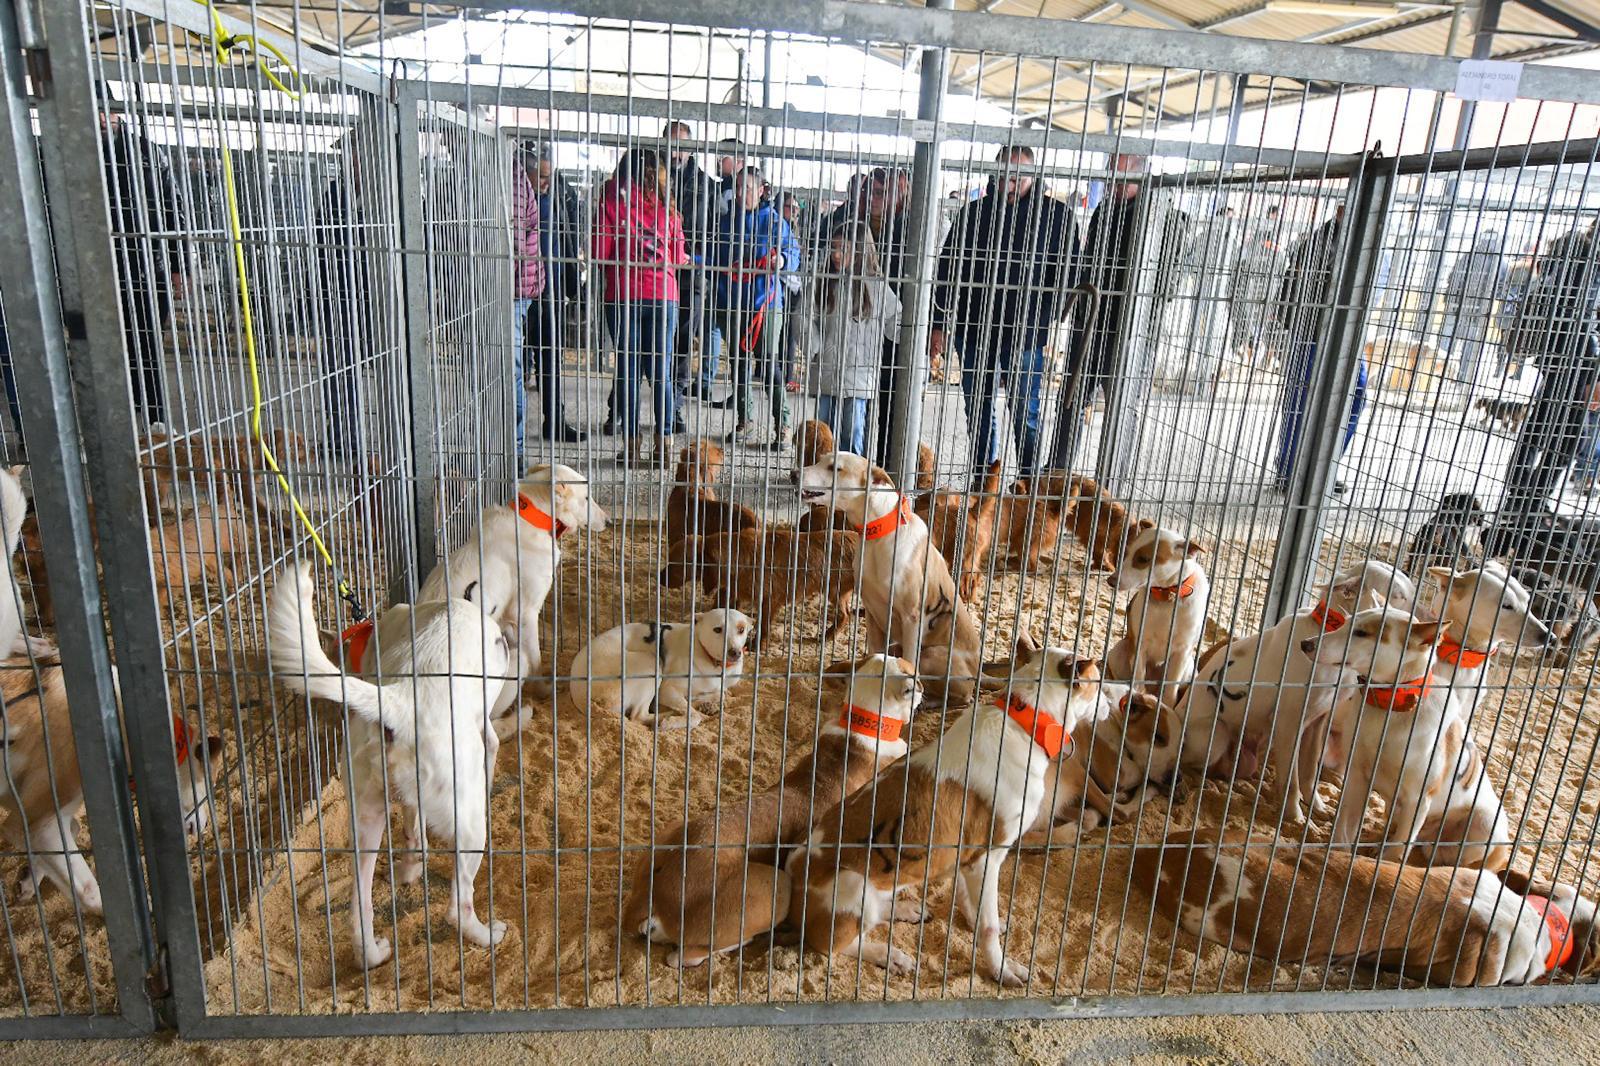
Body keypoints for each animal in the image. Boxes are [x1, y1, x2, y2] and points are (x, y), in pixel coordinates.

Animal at [569, 605, 755, 729]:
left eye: (741, 629)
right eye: (717, 629)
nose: (735, 653)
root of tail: (580, 695)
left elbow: (719, 694)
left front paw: (706, 703)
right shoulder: (667, 690)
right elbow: (693, 715)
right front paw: (675, 720)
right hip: (651, 663)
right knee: (638, 716)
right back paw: (666, 716)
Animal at [787, 643, 1100, 985]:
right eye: (1099, 681)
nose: (1115, 701)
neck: (1022, 722)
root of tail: (792, 888)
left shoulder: (963, 854)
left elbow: (970, 902)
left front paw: (975, 922)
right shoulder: (986, 858)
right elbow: (989, 928)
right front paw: (1001, 969)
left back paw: (904, 910)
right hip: (855, 888)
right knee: (833, 944)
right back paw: (887, 954)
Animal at [1107, 521, 1203, 701]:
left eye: (1143, 559)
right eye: (1127, 553)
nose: (1110, 581)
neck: (1166, 598)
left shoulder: (1182, 651)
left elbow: (1171, 690)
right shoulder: (1140, 646)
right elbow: (1138, 680)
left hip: (1190, 667)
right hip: (1118, 652)